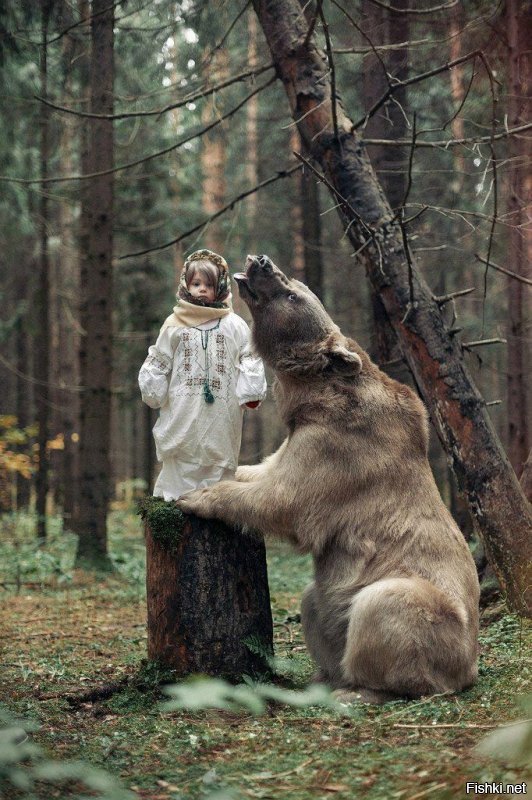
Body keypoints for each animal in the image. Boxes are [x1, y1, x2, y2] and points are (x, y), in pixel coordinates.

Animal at [178, 255, 478, 700]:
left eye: (292, 294)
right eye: (294, 282)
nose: (262, 261)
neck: (317, 394)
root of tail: (471, 666)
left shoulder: (340, 449)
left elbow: (285, 499)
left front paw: (197, 496)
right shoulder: (301, 434)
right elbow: (266, 469)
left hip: (441, 623)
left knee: (386, 606)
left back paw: (359, 689)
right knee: (314, 602)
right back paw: (324, 677)